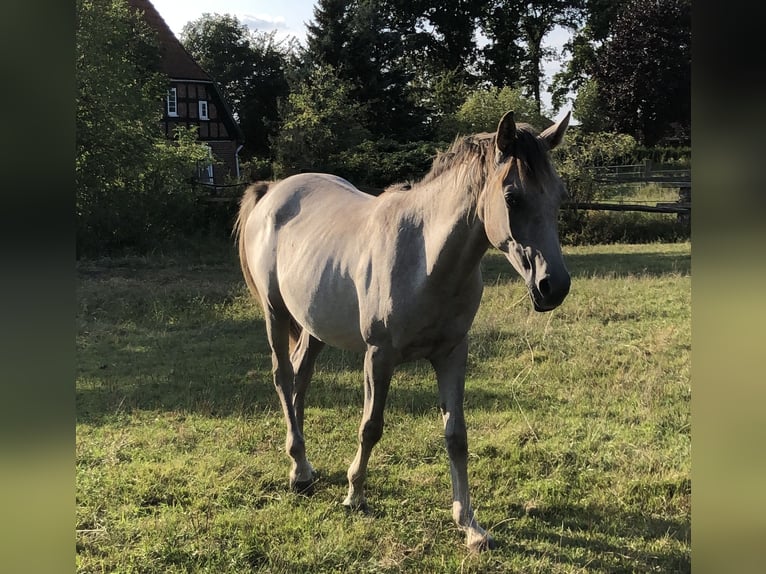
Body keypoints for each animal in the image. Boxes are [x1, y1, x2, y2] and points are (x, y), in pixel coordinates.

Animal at [237, 110, 572, 552]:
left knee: (300, 380)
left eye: (558, 196)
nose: (555, 286)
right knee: (282, 376)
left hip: (313, 327)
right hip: (275, 313)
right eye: (512, 197)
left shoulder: (452, 354)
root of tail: (273, 191)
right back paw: (300, 473)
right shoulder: (379, 356)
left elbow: (456, 436)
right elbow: (371, 426)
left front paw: (469, 524)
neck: (425, 259)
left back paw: (303, 466)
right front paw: (355, 495)